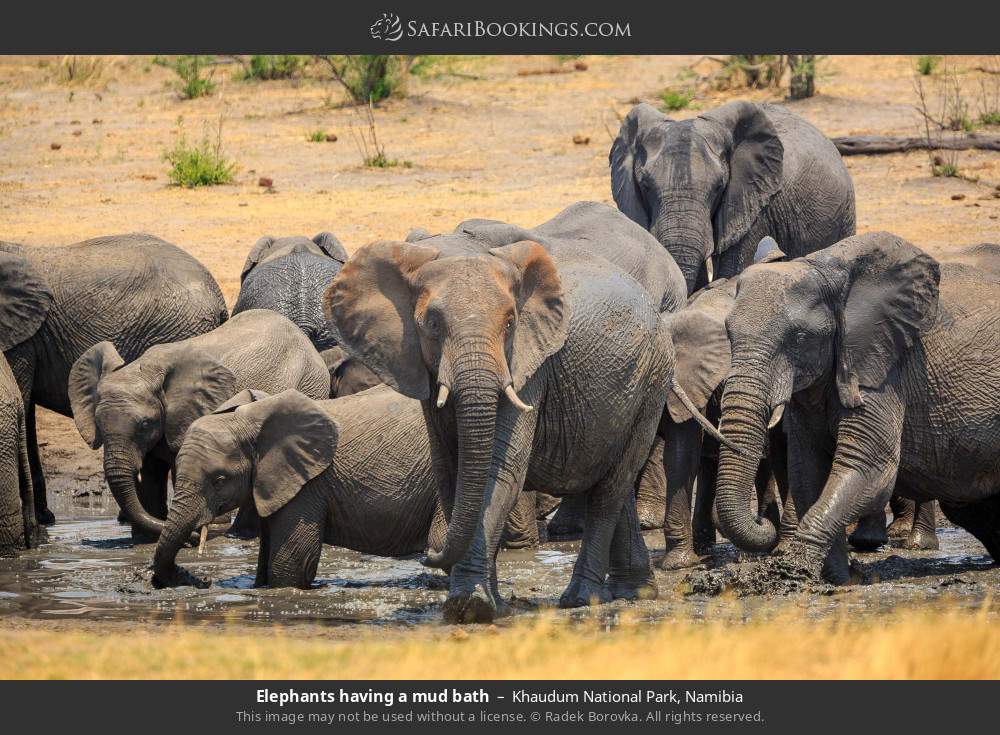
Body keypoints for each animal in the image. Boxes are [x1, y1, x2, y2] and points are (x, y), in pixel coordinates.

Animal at [67, 309, 330, 541]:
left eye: (145, 424)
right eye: (98, 423)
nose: (193, 537)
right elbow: (151, 472)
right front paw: (144, 540)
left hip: (310, 384)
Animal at [325, 201, 718, 623]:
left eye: (511, 322)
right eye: (430, 323)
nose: (427, 555)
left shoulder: (531, 363)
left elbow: (501, 470)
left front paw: (469, 606)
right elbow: (451, 470)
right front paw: (489, 604)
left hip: (652, 377)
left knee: (611, 488)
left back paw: (581, 598)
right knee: (609, 476)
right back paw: (636, 592)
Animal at [710, 232, 1000, 586]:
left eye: (799, 338)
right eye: (728, 334)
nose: (763, 522)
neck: (824, 270)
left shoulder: (882, 372)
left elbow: (869, 469)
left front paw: (793, 575)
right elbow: (809, 473)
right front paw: (842, 580)